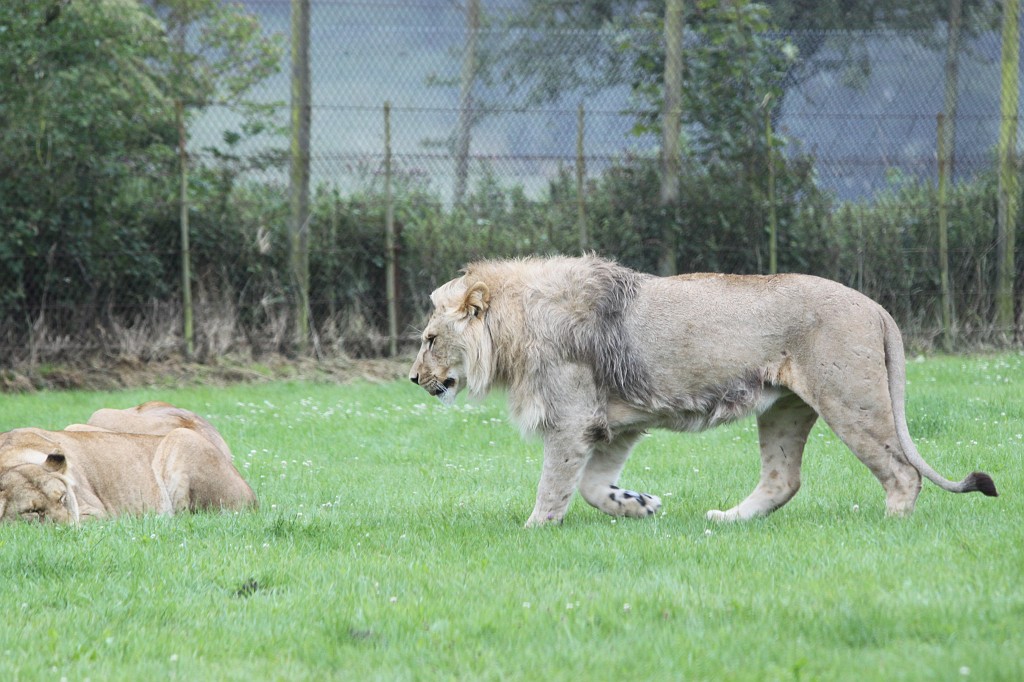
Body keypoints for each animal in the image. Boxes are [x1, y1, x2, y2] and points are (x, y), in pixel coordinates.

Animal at [0, 418, 256, 524]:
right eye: (32, 512)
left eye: (63, 498)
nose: (71, 531)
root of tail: (253, 497)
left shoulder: (97, 514)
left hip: (180, 436)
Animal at [409, 255, 998, 527]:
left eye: (431, 340)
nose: (413, 379)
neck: (512, 325)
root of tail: (876, 307)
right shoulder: (615, 424)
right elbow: (593, 487)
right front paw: (639, 504)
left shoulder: (573, 421)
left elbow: (555, 484)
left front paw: (534, 528)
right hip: (785, 409)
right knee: (783, 479)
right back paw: (729, 521)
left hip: (849, 400)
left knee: (901, 471)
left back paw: (891, 523)